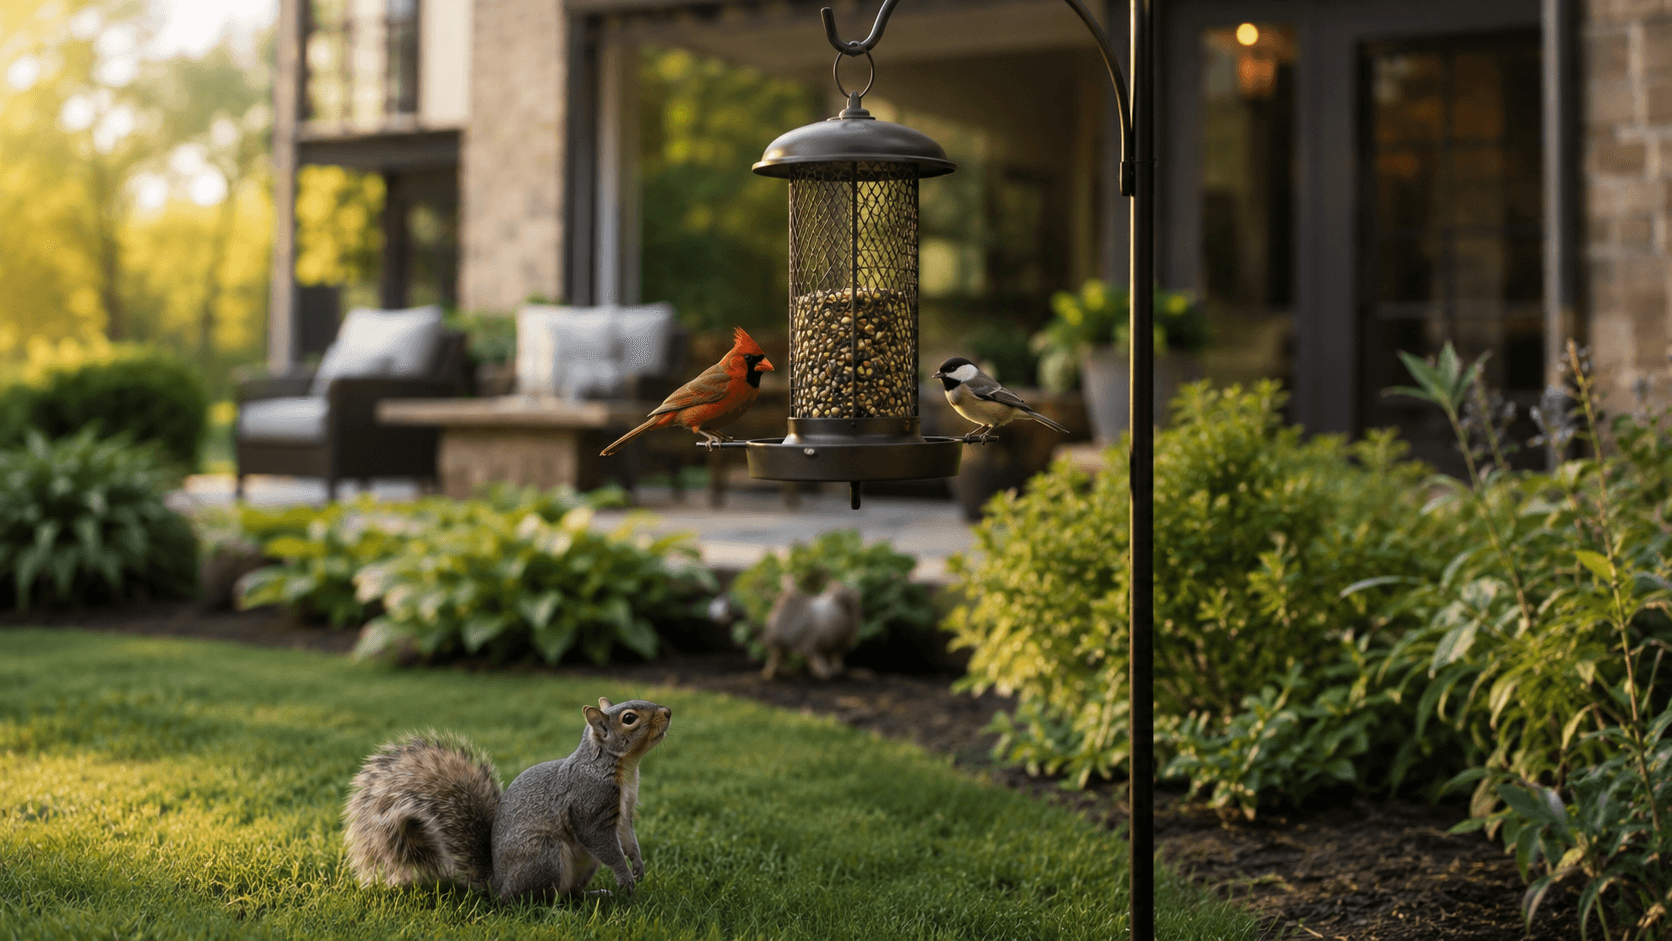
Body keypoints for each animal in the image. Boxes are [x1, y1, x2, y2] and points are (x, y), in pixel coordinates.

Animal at [342, 697, 672, 900]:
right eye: (629, 719)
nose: (667, 712)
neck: (623, 768)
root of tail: (497, 884)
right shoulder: (589, 806)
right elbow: (604, 844)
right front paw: (624, 876)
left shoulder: (624, 813)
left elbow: (627, 839)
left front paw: (638, 866)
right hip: (545, 856)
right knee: (537, 899)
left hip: (583, 864)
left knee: (570, 892)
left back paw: (592, 895)